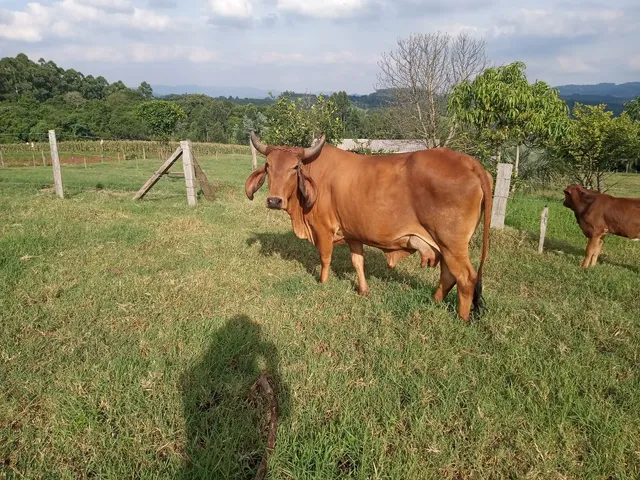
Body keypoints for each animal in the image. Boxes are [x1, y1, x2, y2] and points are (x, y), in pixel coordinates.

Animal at [245, 131, 493, 322]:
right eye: (268, 166)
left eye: (294, 167)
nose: (274, 200)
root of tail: (469, 162)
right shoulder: (353, 233)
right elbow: (358, 262)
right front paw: (363, 290)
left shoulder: (323, 229)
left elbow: (325, 258)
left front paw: (322, 283)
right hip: (445, 244)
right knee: (448, 274)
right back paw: (434, 301)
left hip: (451, 243)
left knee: (465, 277)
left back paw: (461, 319)